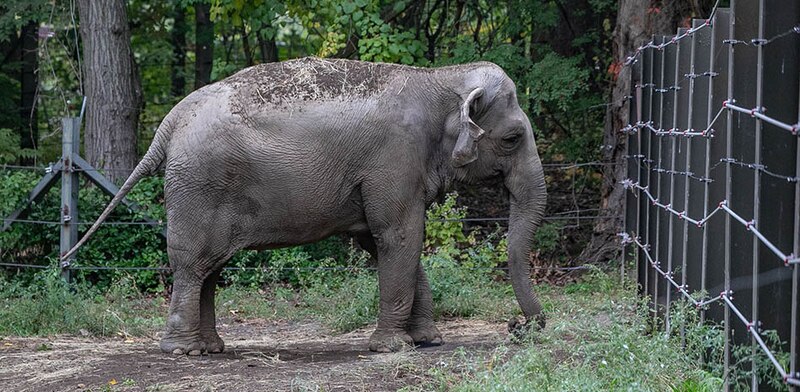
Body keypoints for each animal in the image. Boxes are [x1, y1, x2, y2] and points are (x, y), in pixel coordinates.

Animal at [65, 57, 548, 356]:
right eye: (512, 139)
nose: (518, 327)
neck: (440, 79)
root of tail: (169, 123)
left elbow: (381, 241)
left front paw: (427, 341)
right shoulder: (394, 159)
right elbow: (400, 235)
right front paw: (393, 348)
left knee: (210, 269)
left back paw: (212, 348)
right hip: (198, 187)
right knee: (191, 265)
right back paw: (184, 351)